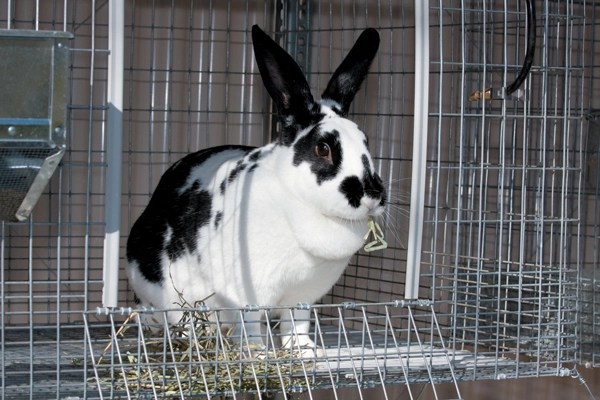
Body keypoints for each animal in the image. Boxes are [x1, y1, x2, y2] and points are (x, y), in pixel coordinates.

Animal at [126, 25, 385, 357]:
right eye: (323, 148)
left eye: (366, 142)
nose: (373, 196)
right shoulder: (247, 294)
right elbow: (250, 325)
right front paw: (257, 353)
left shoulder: (301, 297)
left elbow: (296, 324)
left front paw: (305, 351)